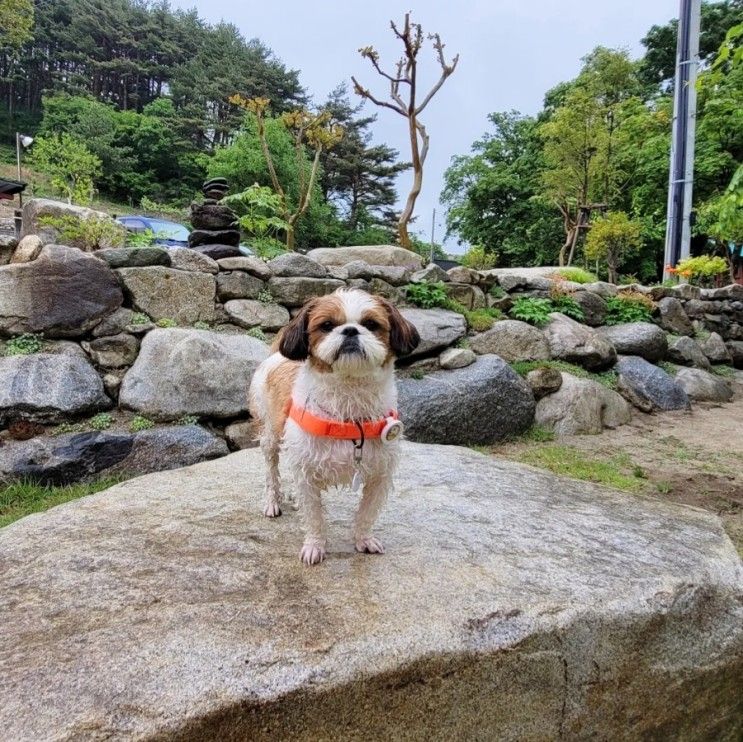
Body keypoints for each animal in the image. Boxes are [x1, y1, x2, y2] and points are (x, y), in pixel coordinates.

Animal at [251, 290, 418, 564]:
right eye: (327, 325)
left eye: (371, 324)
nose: (350, 330)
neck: (349, 414)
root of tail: (277, 356)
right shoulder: (306, 472)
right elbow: (314, 516)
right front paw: (314, 546)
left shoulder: (380, 474)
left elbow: (367, 513)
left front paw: (363, 539)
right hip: (270, 435)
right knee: (271, 470)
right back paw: (272, 501)